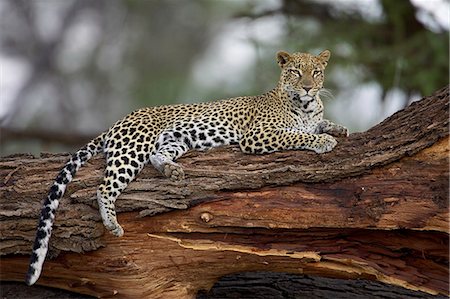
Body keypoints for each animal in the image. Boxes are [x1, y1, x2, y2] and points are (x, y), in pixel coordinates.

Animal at [25, 49, 348, 286]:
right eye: (296, 71)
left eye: (316, 72)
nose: (308, 88)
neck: (307, 107)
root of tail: (119, 121)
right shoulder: (258, 135)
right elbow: (297, 134)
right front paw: (323, 141)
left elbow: (319, 123)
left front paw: (338, 128)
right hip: (134, 147)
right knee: (105, 186)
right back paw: (113, 224)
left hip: (177, 141)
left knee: (157, 156)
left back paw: (173, 171)